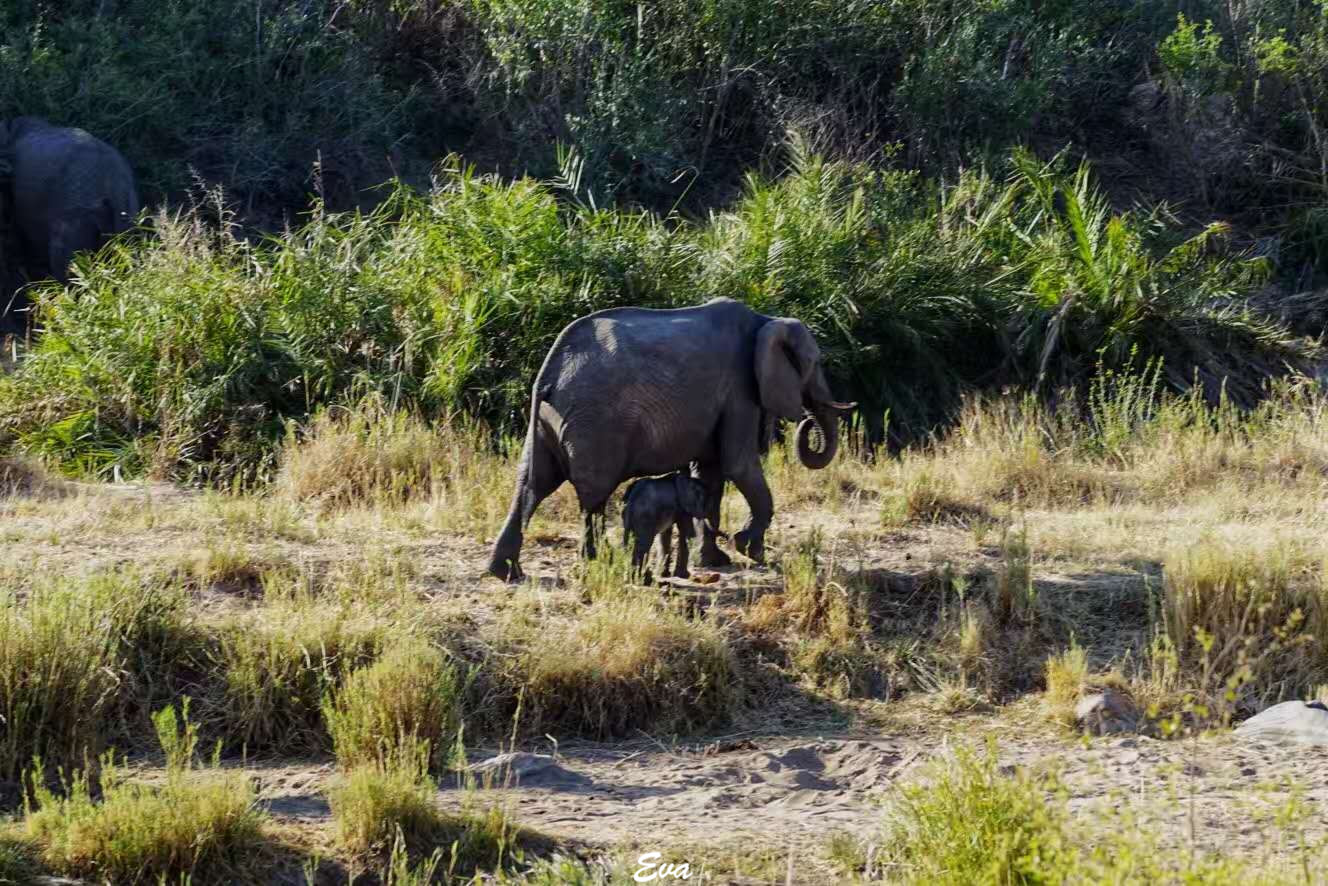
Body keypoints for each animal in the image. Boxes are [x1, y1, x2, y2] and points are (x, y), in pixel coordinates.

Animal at [488, 296, 849, 581]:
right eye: (814, 363)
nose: (806, 420)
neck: (766, 320)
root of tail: (548, 374)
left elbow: (710, 473)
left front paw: (717, 561)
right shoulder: (740, 390)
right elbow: (739, 464)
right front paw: (750, 549)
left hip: (548, 422)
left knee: (531, 485)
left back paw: (506, 572)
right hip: (594, 423)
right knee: (592, 497)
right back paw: (595, 565)